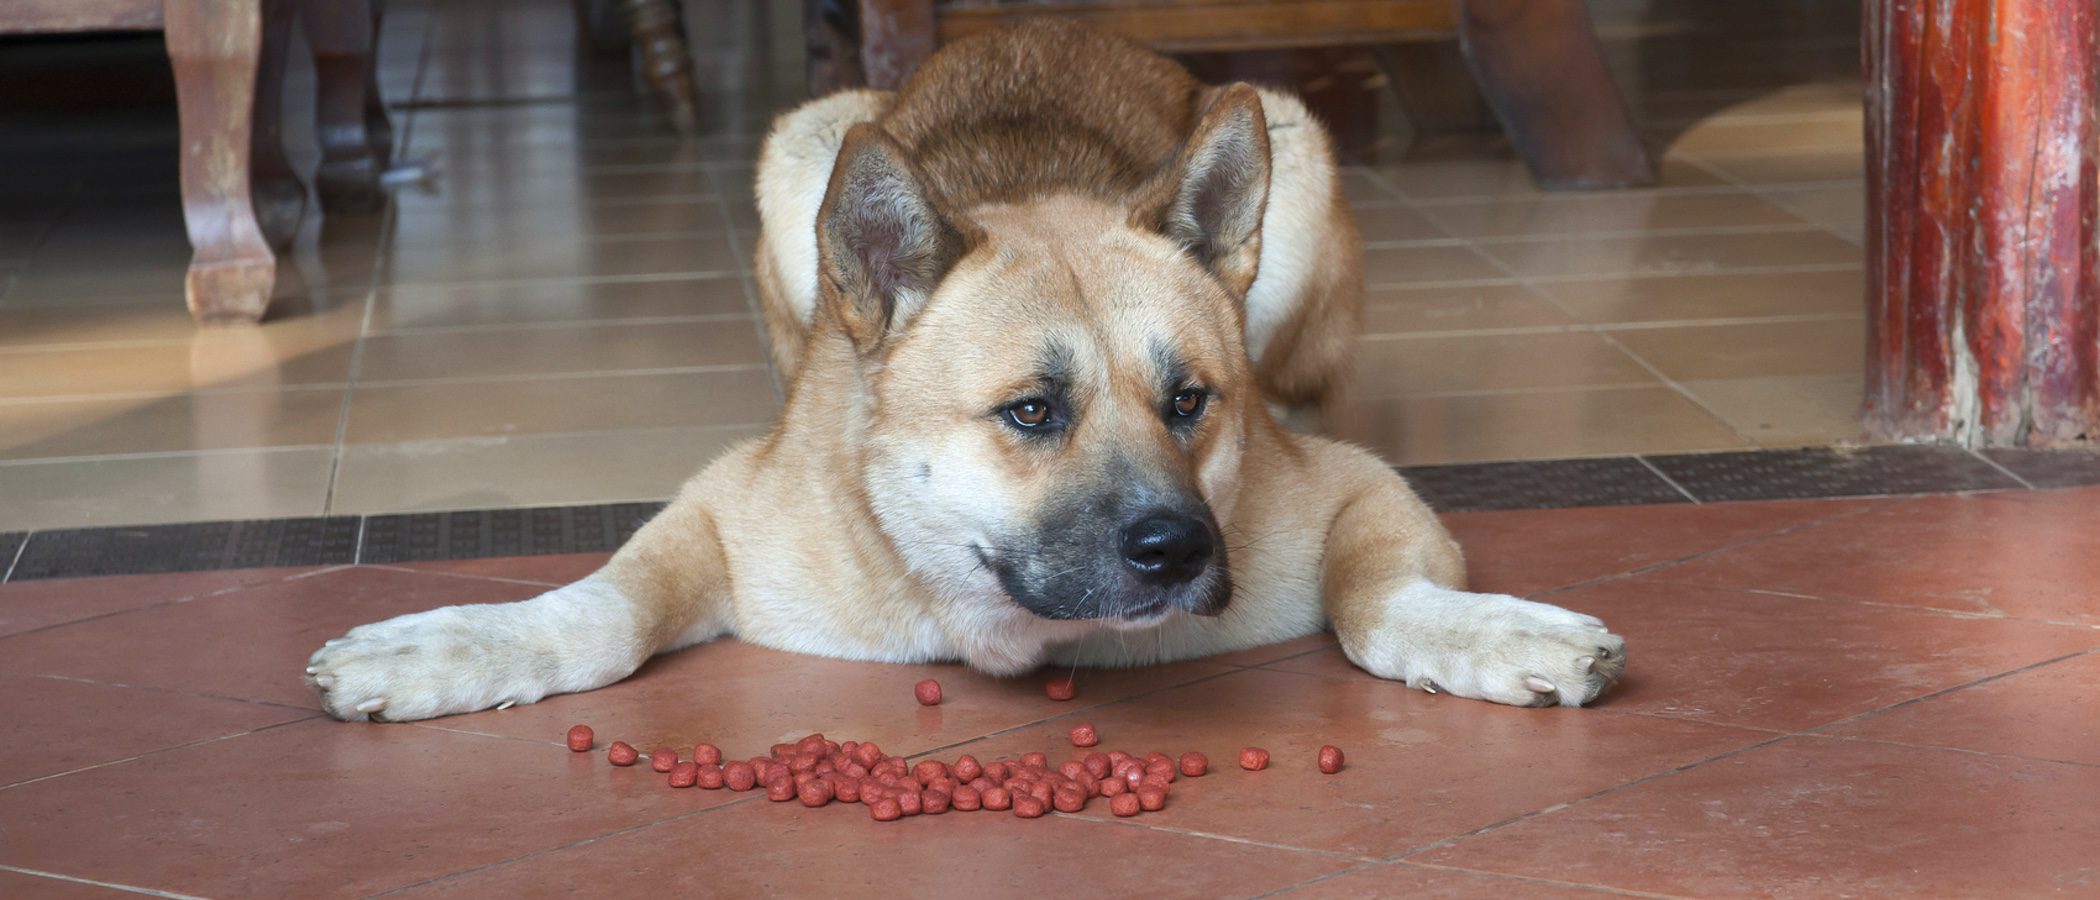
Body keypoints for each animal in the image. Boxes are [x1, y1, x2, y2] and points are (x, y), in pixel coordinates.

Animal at [306, 22, 1621, 721]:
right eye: (1031, 412)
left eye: (1191, 402)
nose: (1181, 551)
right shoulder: (715, 514)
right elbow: (600, 610)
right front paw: (458, 650)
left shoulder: (1358, 491)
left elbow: (1376, 602)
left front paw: (1485, 631)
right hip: (801, 150)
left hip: (1298, 158)